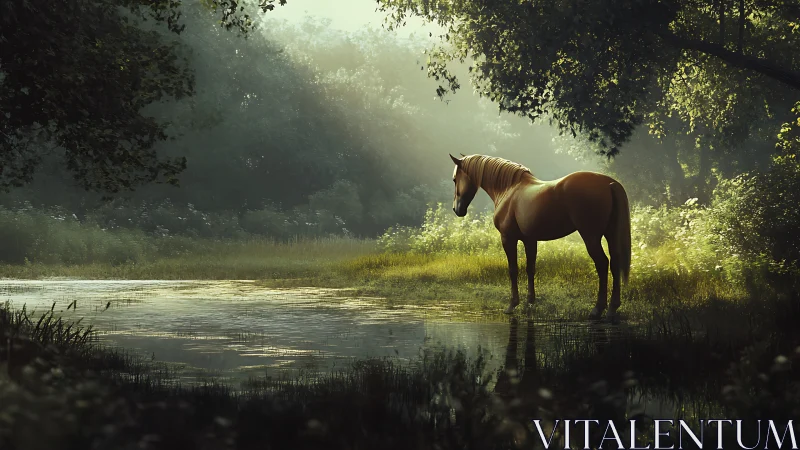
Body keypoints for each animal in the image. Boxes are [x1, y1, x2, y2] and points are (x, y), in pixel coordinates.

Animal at [449, 154, 631, 321]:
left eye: (454, 179)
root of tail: (609, 184)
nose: (457, 209)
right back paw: (612, 308)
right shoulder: (530, 240)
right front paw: (530, 302)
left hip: (591, 237)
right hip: (610, 235)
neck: (509, 189)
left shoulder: (508, 238)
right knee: (615, 263)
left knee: (602, 264)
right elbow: (530, 268)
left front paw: (512, 305)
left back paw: (597, 309)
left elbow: (513, 269)